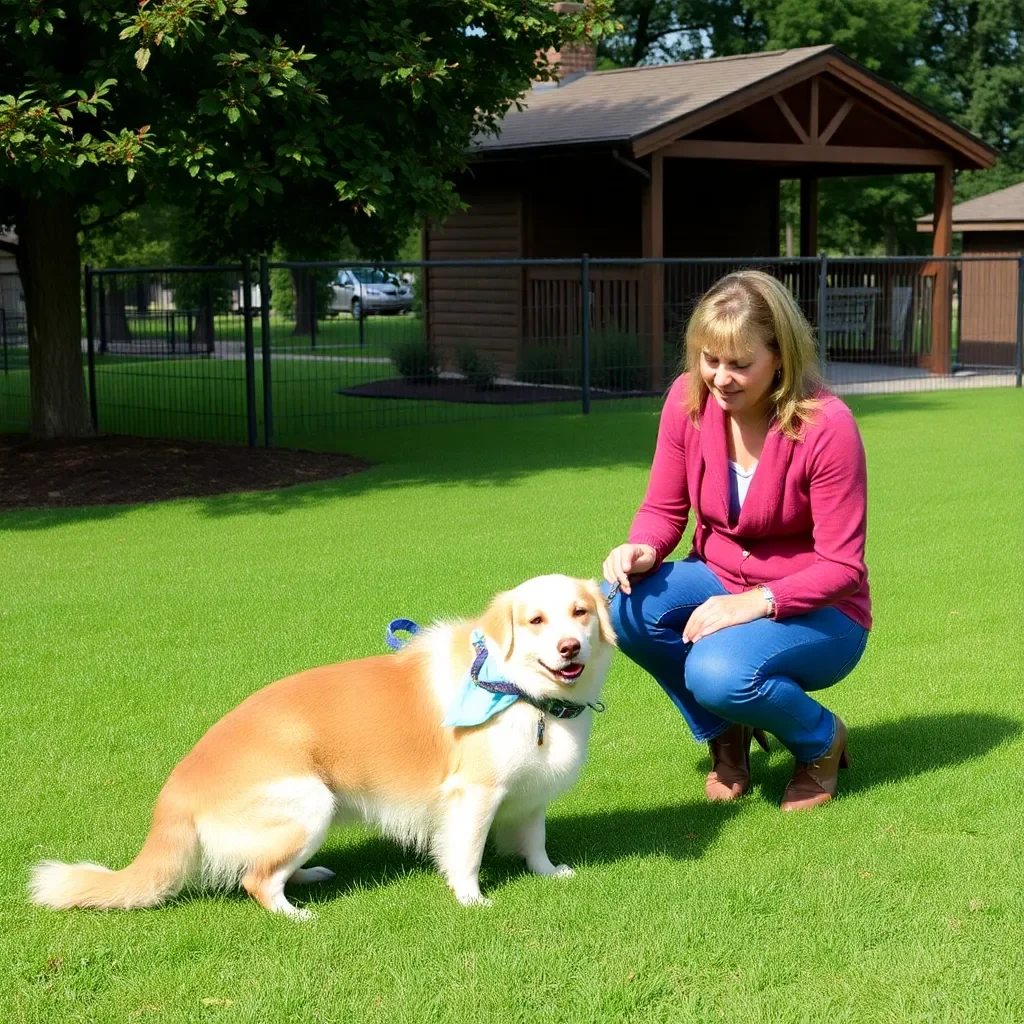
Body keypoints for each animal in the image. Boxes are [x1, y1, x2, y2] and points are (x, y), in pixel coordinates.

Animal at [29, 577, 614, 921]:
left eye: (581, 613)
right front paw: (472, 900)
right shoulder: (473, 796)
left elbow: (535, 841)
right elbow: (465, 855)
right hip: (310, 802)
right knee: (255, 880)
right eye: (536, 621)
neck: (521, 690)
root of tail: (176, 790)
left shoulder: (531, 794)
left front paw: (548, 873)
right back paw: (295, 913)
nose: (570, 648)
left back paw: (308, 876)